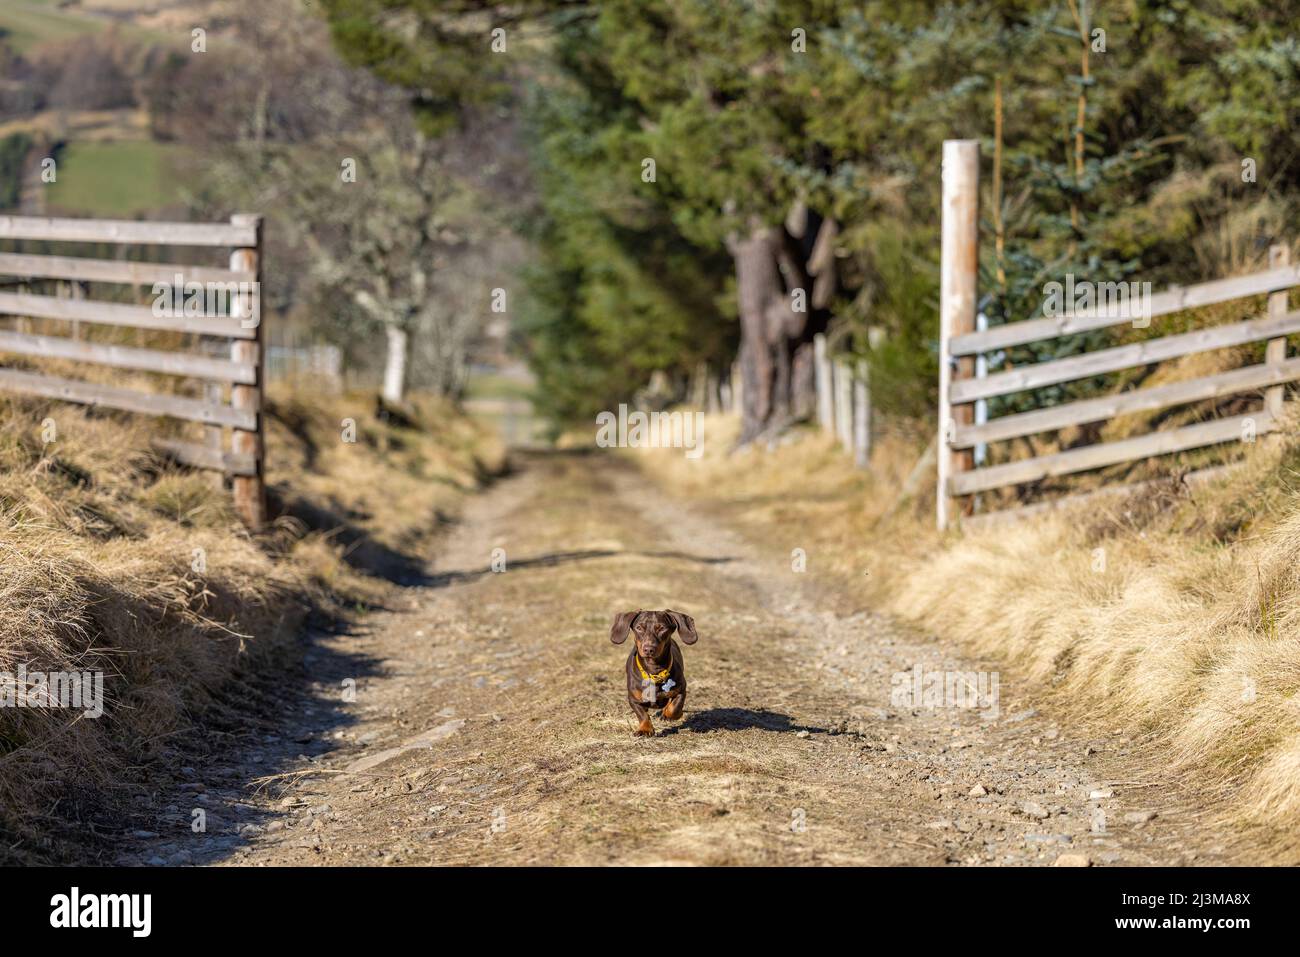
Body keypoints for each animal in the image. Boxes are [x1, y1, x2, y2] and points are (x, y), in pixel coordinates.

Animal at [611, 608, 702, 738]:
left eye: (662, 628)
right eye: (639, 627)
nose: (649, 649)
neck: (654, 672)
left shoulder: (681, 690)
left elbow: (674, 707)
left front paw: (670, 714)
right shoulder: (633, 699)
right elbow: (642, 715)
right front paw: (645, 729)